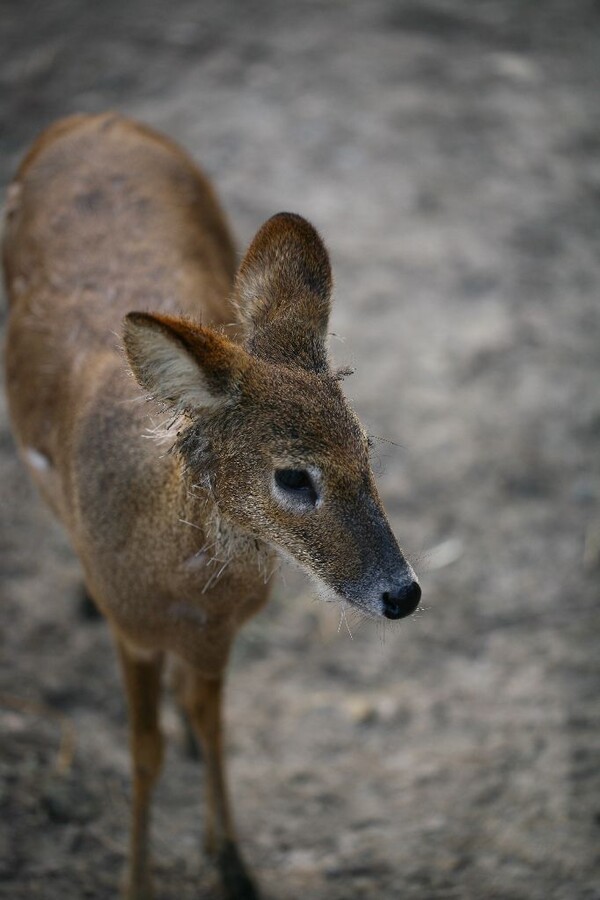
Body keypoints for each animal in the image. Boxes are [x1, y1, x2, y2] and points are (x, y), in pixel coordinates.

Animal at [3, 114, 422, 900]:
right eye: (293, 477)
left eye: (366, 447)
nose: (404, 593)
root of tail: (92, 121)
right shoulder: (132, 626)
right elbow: (144, 752)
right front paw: (137, 881)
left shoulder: (221, 633)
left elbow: (214, 723)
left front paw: (231, 865)